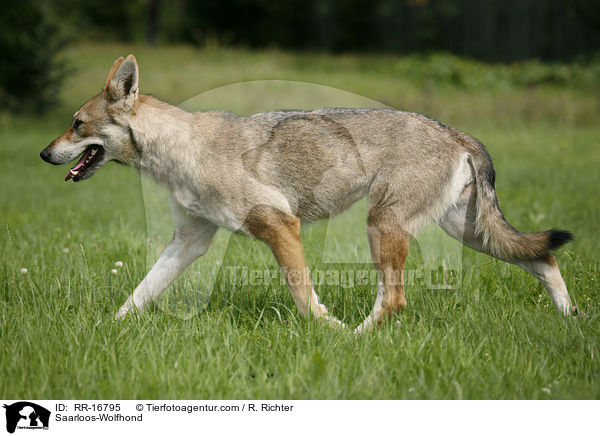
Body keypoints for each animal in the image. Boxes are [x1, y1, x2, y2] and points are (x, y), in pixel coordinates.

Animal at [39, 56, 576, 332]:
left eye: (76, 124)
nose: (44, 154)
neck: (181, 149)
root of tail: (455, 132)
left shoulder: (281, 226)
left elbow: (303, 296)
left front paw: (324, 331)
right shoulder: (189, 243)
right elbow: (138, 294)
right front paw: (107, 330)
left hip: (386, 227)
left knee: (394, 301)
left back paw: (354, 340)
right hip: (470, 235)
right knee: (544, 259)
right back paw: (572, 321)